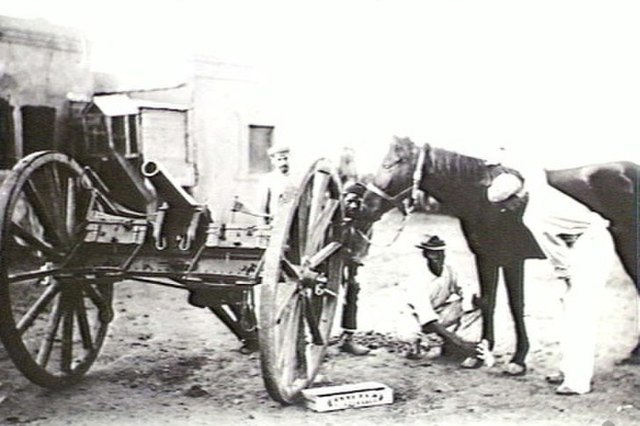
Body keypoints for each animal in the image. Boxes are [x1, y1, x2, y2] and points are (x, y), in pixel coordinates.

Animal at [360, 136, 640, 372]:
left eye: (391, 163)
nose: (366, 206)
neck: (482, 197)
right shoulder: (488, 257)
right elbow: (488, 301)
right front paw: (480, 353)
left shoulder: (511, 259)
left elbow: (515, 306)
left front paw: (517, 360)